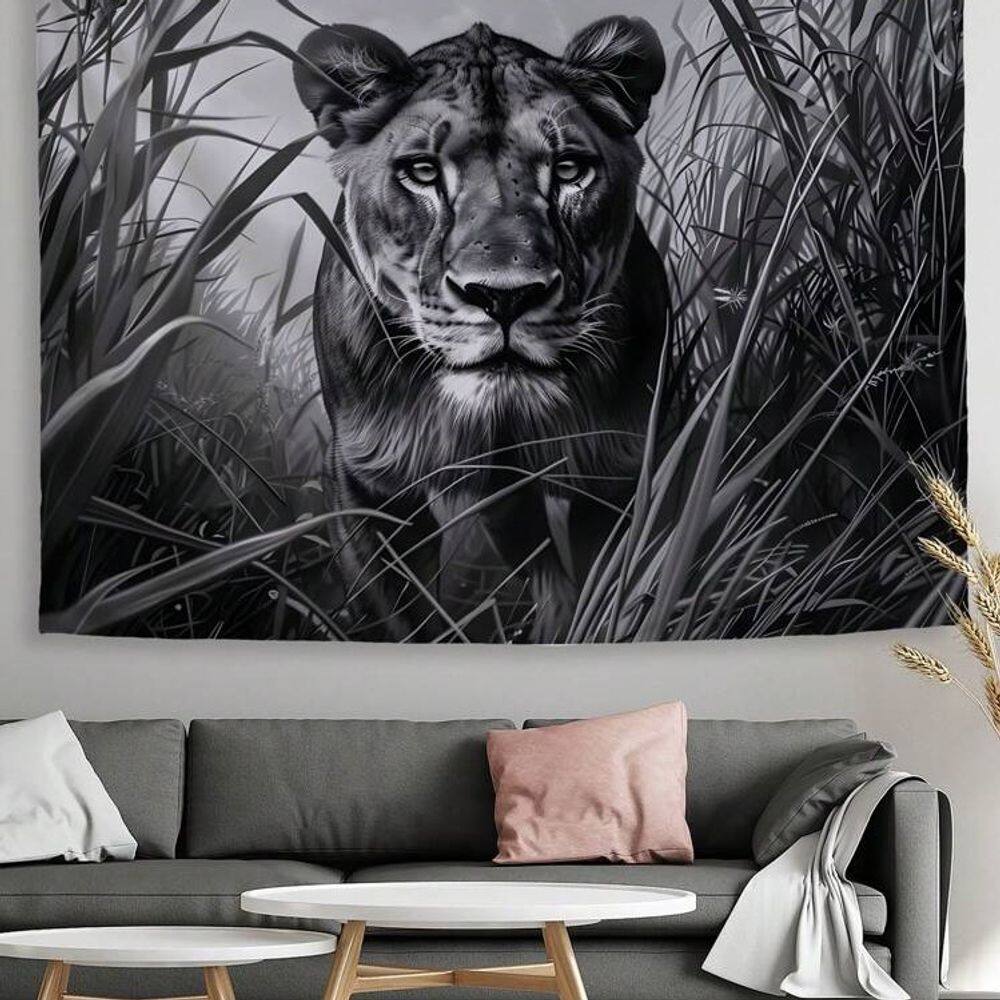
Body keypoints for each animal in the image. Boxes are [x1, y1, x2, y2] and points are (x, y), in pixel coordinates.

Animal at [293, 16, 669, 642]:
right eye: (422, 173)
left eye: (569, 170)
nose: (504, 296)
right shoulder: (369, 485)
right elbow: (401, 621)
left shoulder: (617, 473)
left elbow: (610, 598)